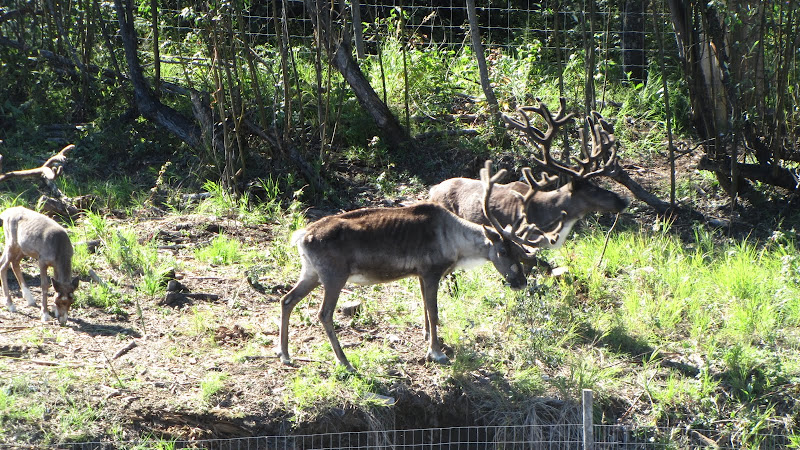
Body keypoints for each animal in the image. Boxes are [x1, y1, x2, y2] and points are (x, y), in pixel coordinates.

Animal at [282, 161, 564, 370]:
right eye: (503, 251)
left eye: (519, 250)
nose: (520, 282)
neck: (455, 241)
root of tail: (301, 236)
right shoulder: (431, 271)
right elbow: (435, 311)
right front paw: (436, 353)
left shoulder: (418, 274)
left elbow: (426, 311)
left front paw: (429, 339)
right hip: (334, 276)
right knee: (324, 314)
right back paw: (344, 361)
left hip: (310, 272)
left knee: (287, 300)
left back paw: (284, 354)